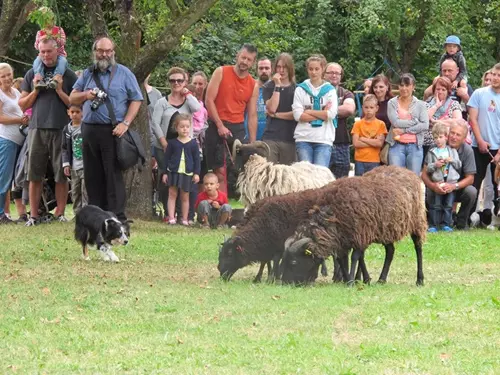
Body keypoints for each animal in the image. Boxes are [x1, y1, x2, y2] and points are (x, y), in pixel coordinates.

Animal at [282, 166, 426, 286]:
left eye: (294, 261)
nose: (285, 282)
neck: (332, 213)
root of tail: (406, 170)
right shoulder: (347, 236)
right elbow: (345, 259)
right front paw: (356, 279)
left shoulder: (360, 233)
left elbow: (355, 257)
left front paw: (351, 281)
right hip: (386, 228)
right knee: (390, 251)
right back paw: (381, 279)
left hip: (417, 220)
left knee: (418, 247)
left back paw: (419, 279)